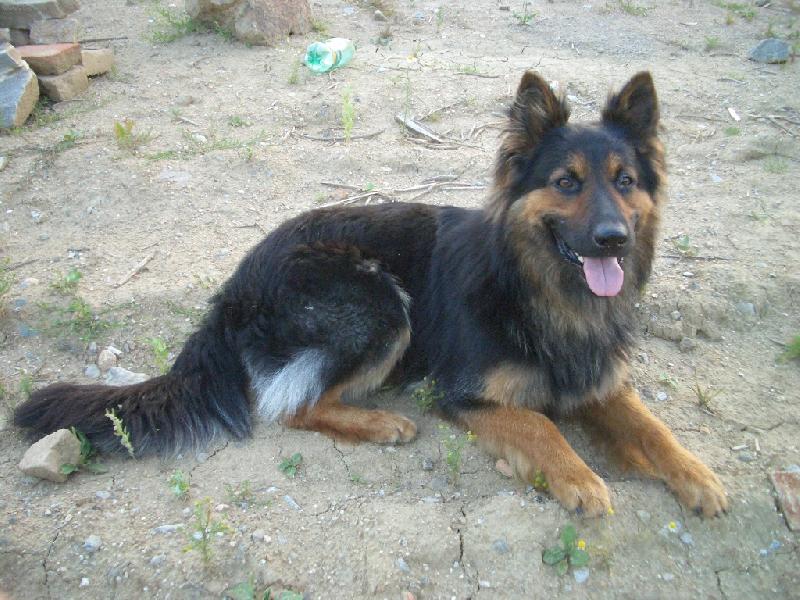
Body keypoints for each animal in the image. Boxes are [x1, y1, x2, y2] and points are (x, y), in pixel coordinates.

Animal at [15, 71, 727, 517]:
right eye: (567, 182)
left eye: (625, 181)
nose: (612, 239)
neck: (541, 291)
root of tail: (235, 286)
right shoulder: (464, 392)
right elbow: (540, 424)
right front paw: (580, 478)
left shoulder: (600, 381)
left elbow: (652, 427)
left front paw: (699, 476)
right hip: (380, 303)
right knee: (291, 406)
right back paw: (382, 422)